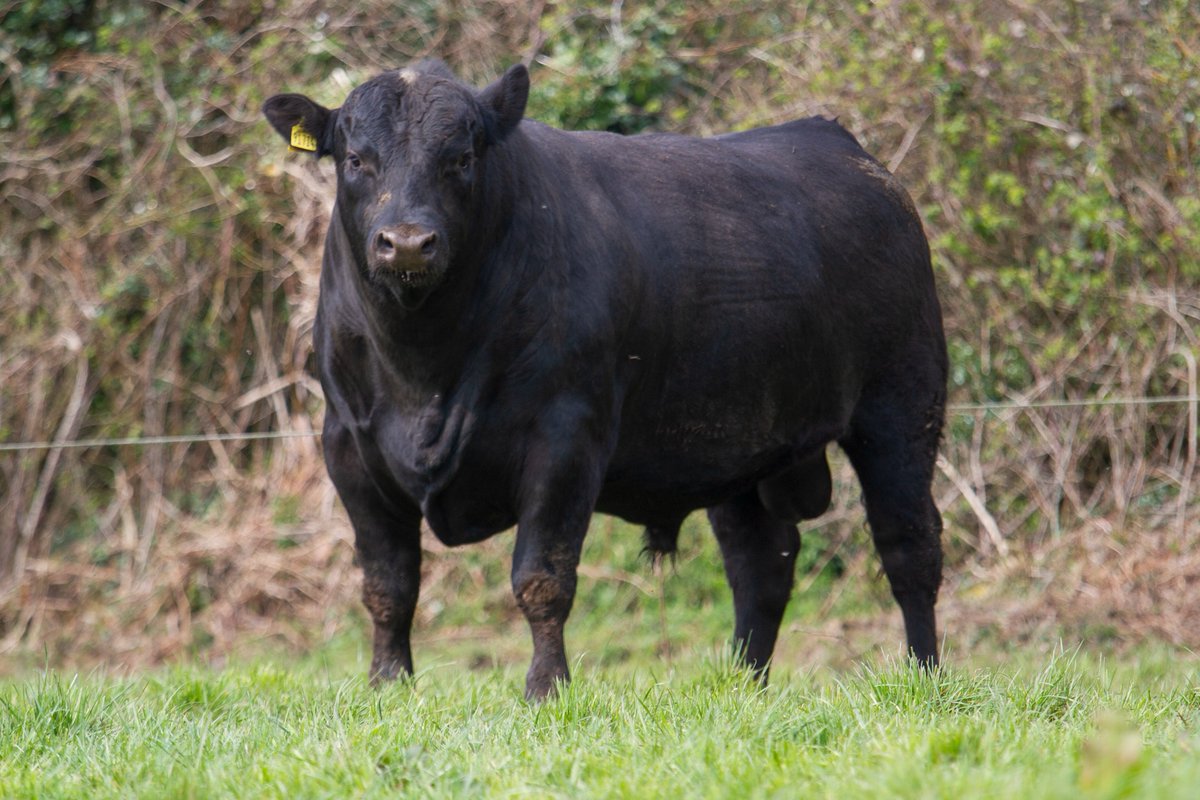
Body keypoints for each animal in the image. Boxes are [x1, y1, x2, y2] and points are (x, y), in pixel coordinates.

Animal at [262, 59, 947, 700]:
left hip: (901, 405)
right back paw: (744, 685)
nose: (406, 243)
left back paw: (924, 673)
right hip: (739, 443)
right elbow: (388, 585)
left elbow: (542, 578)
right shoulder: (349, 447)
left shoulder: (565, 437)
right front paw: (388, 686)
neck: (424, 373)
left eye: (461, 158)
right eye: (356, 159)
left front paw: (545, 688)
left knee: (909, 546)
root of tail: (847, 149)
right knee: (761, 564)